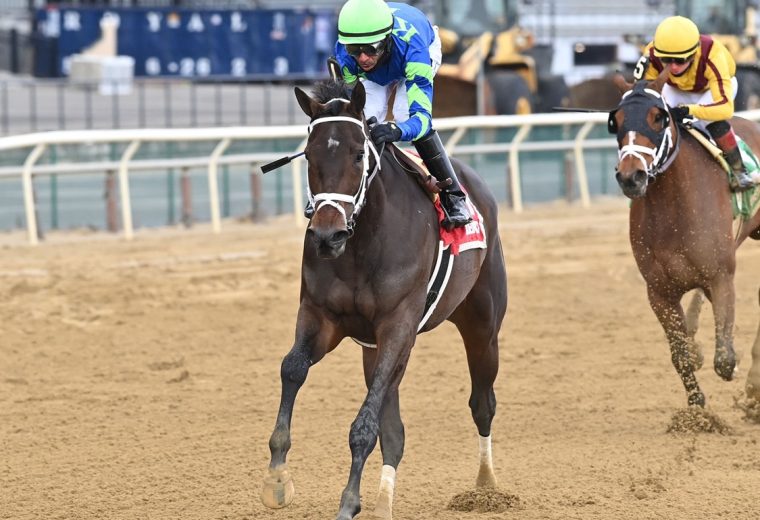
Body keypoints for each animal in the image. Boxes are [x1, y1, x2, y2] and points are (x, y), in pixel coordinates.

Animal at [258, 78, 508, 520]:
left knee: (482, 402)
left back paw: (486, 486)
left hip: (481, 325)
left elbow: (364, 425)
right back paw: (383, 502)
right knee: (395, 431)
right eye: (309, 155)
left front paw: (347, 502)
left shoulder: (397, 326)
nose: (327, 235)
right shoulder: (322, 318)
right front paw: (277, 478)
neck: (363, 243)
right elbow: (292, 369)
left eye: (359, 154)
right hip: (373, 349)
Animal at [608, 71, 760, 408]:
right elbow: (681, 355)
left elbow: (725, 359)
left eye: (658, 117)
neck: (673, 208)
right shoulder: (659, 291)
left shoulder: (721, 276)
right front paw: (696, 411)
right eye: (617, 120)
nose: (631, 176)